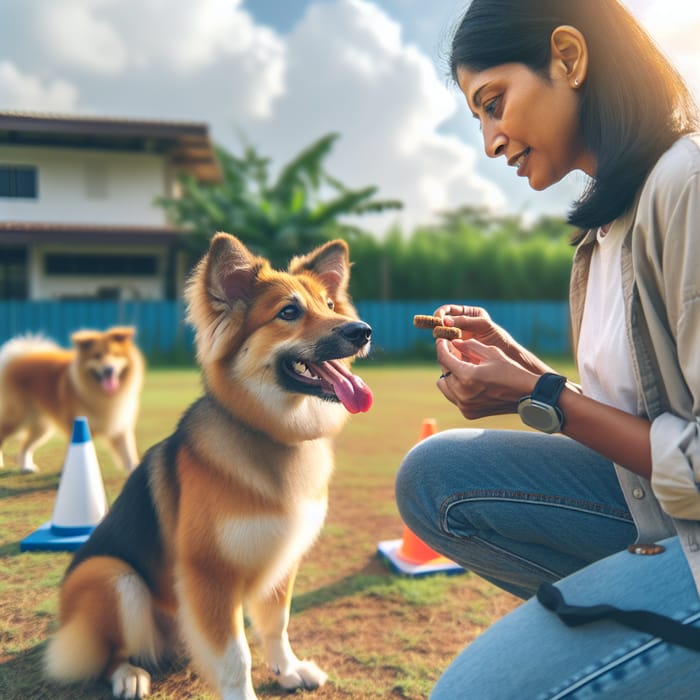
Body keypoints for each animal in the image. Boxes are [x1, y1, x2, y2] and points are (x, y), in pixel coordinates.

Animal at [0, 326, 144, 474]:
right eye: (97, 355)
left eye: (116, 354)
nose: (109, 369)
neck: (102, 395)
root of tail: (18, 360)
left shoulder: (120, 429)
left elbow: (129, 456)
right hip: (16, 418)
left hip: (42, 427)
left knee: (25, 445)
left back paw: (26, 467)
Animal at [44, 234, 374, 700]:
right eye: (288, 312)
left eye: (330, 305)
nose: (362, 331)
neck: (271, 434)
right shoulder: (211, 576)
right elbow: (236, 656)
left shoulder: (282, 560)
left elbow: (277, 624)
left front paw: (288, 669)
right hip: (111, 575)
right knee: (111, 651)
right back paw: (128, 674)